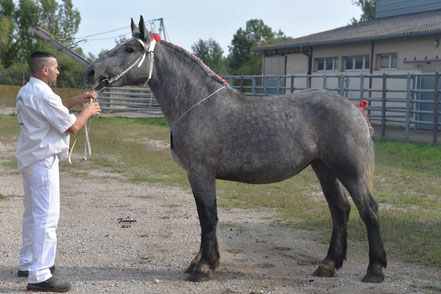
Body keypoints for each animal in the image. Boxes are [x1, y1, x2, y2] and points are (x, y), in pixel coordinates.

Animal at [85, 15, 384, 282]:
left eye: (130, 48)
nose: (90, 72)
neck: (197, 103)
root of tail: (354, 109)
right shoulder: (196, 176)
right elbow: (204, 218)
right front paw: (198, 262)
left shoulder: (201, 173)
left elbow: (208, 218)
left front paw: (203, 268)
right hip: (324, 168)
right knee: (340, 210)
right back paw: (327, 265)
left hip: (349, 171)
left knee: (368, 209)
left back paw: (375, 270)